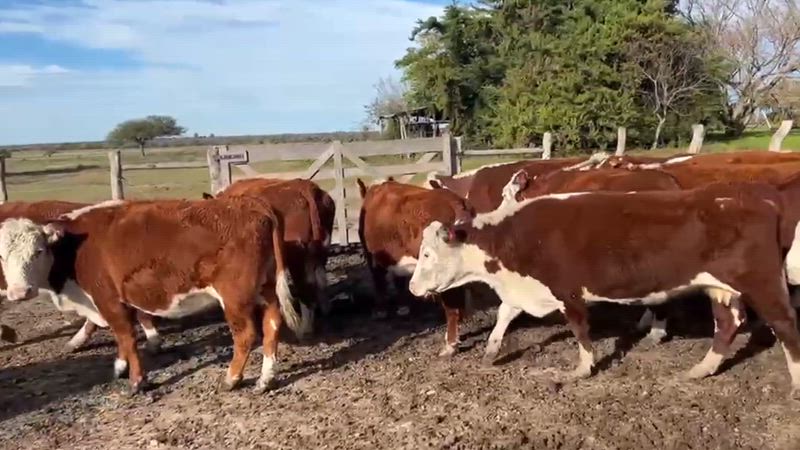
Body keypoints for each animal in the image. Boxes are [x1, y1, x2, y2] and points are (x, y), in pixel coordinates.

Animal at [357, 178, 474, 356]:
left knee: (451, 308)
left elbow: (379, 282)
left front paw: (380, 310)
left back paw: (450, 345)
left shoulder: (372, 257)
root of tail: (456, 203)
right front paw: (402, 307)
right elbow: (398, 280)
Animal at [407, 184, 800, 397]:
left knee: (785, 325)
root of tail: (756, 193)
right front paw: (490, 352)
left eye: (427, 253)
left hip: (762, 282)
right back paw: (702, 369)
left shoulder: (568, 291)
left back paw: (796, 384)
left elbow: (581, 331)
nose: (412, 286)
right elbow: (505, 314)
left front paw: (581, 369)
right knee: (728, 323)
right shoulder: (526, 289)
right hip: (720, 287)